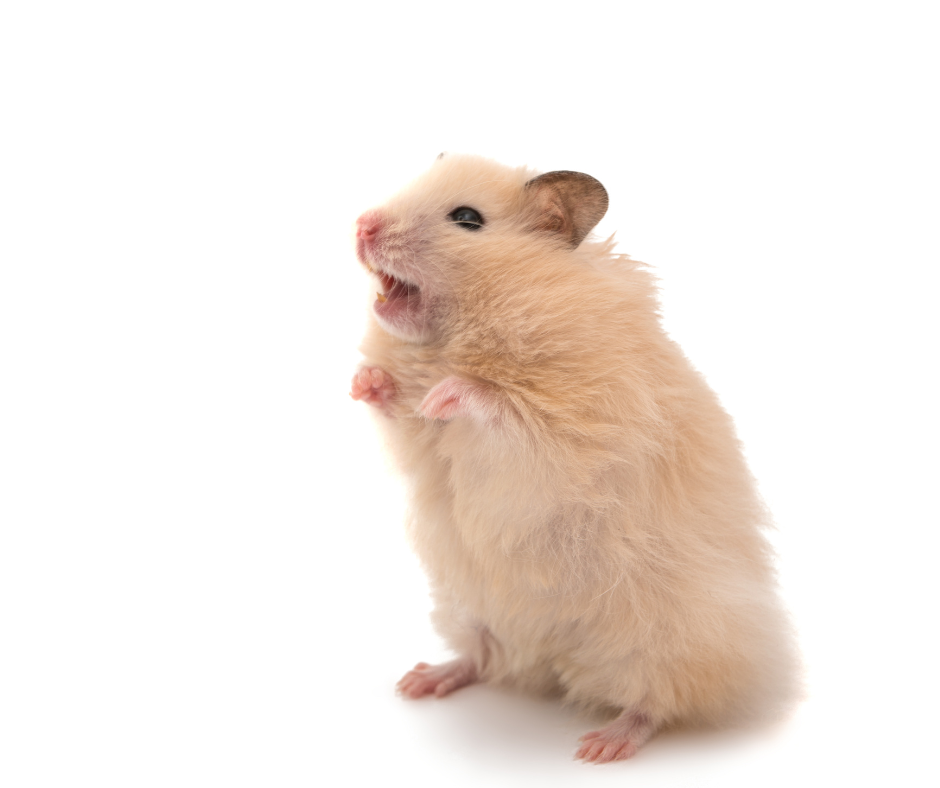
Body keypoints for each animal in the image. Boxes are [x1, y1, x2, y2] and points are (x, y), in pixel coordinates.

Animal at [349, 154, 800, 763]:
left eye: (466, 219)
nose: (362, 226)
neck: (455, 337)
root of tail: (550, 658)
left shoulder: (571, 431)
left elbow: (502, 410)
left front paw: (445, 395)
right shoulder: (419, 441)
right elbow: (398, 412)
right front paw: (364, 382)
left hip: (666, 635)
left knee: (657, 701)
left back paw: (602, 746)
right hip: (466, 606)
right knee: (485, 659)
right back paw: (420, 680)